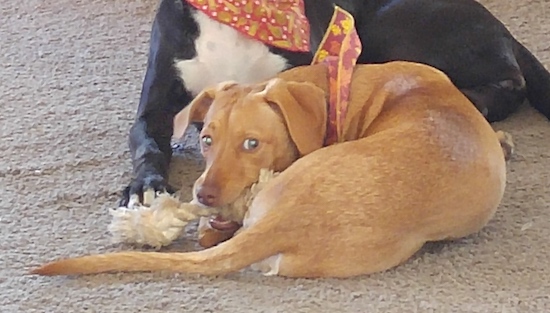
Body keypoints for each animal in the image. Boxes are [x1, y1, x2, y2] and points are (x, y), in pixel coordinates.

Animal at [119, 0, 550, 206]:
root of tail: (502, 28)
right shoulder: (153, 111)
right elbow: (147, 145)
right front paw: (146, 187)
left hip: (390, 29)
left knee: (507, 81)